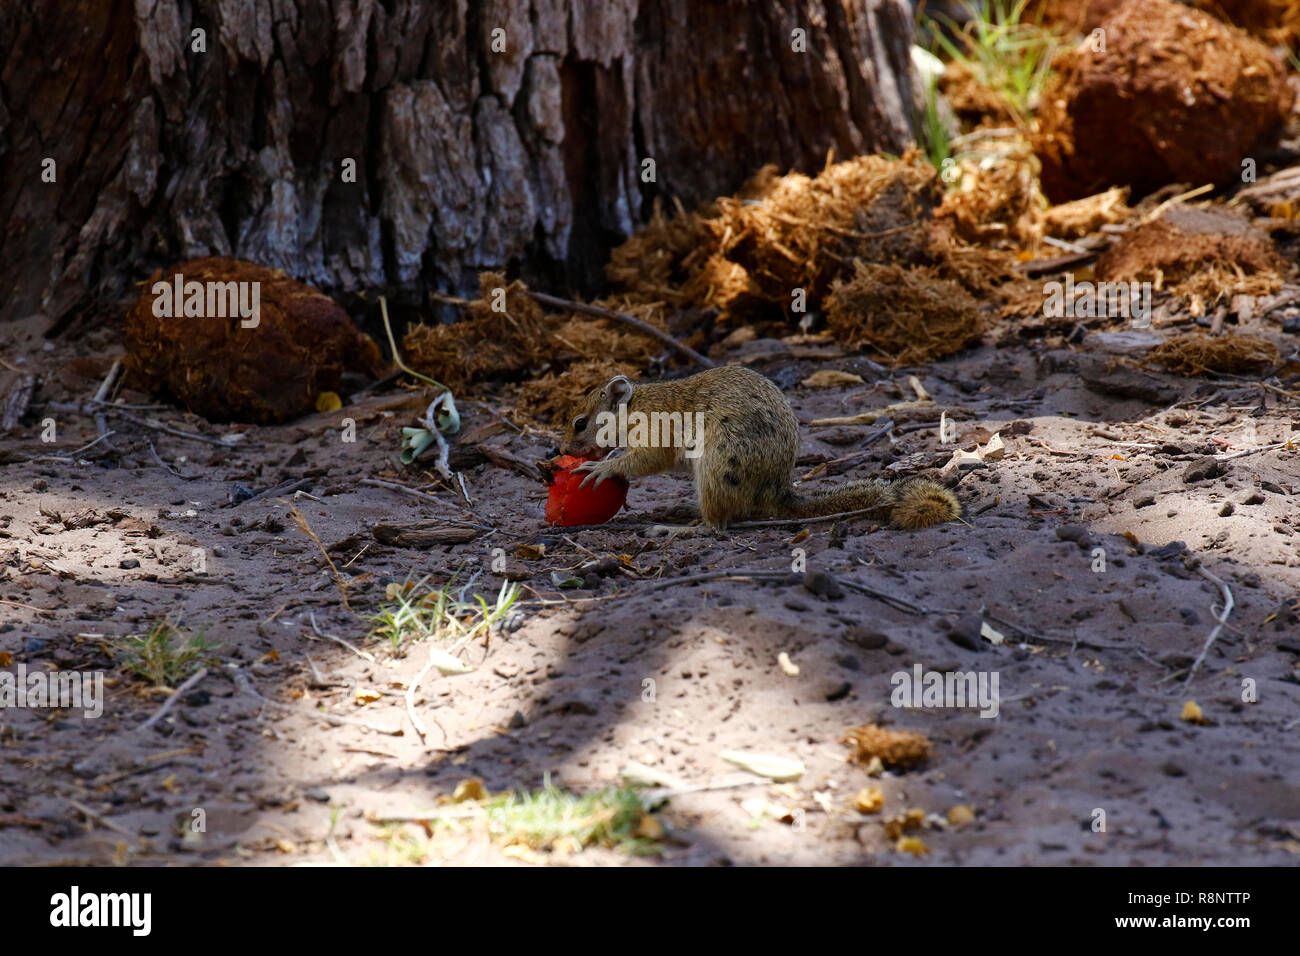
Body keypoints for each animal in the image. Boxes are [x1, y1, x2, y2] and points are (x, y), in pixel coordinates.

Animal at [562, 365, 960, 530]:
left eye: (579, 422)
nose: (563, 449)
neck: (636, 406)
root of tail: (773, 491)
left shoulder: (656, 430)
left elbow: (647, 459)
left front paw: (603, 467)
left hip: (718, 466)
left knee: (718, 526)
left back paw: (680, 528)